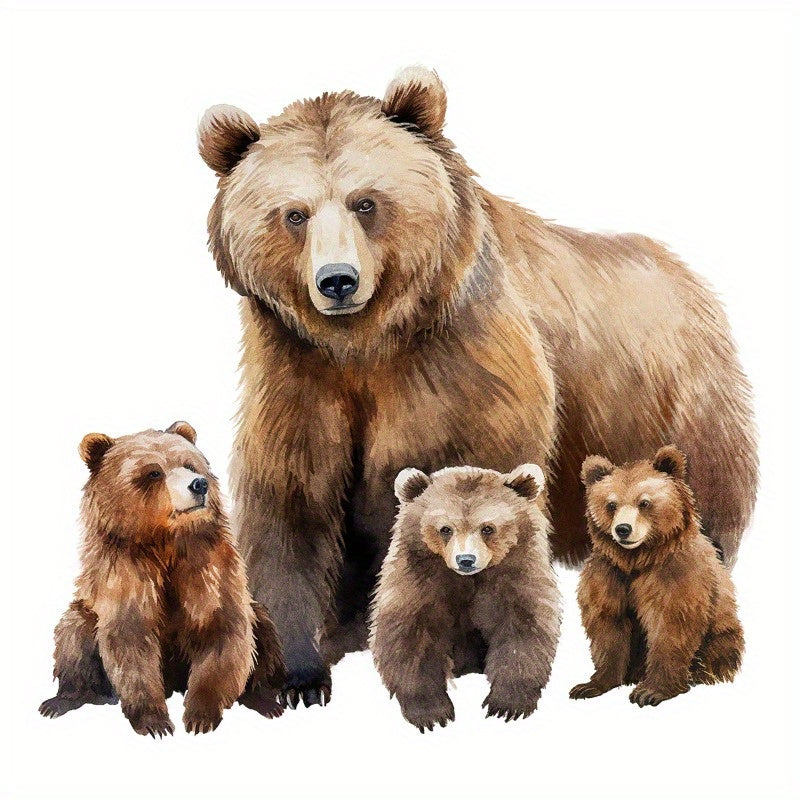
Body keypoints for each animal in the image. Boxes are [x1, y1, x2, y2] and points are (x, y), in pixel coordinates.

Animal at [39, 422, 285, 736]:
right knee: (72, 633)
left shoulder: (209, 571)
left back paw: (264, 700)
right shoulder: (127, 574)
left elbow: (223, 632)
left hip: (257, 617)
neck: (165, 541)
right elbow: (130, 641)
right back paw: (64, 699)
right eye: (153, 472)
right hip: (85, 614)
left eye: (190, 465)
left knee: (263, 629)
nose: (199, 485)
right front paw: (154, 721)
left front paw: (200, 716)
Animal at [370, 464, 561, 731]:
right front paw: (431, 711)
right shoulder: (420, 580)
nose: (466, 560)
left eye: (488, 528)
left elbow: (523, 628)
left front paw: (507, 703)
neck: (469, 580)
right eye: (445, 529)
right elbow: (410, 635)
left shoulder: (515, 575)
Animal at [569, 446, 744, 706]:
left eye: (644, 502)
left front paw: (650, 691)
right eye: (611, 504)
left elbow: (670, 625)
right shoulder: (610, 576)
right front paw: (591, 685)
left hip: (721, 634)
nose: (623, 529)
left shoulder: (675, 576)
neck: (637, 560)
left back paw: (704, 673)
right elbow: (608, 626)